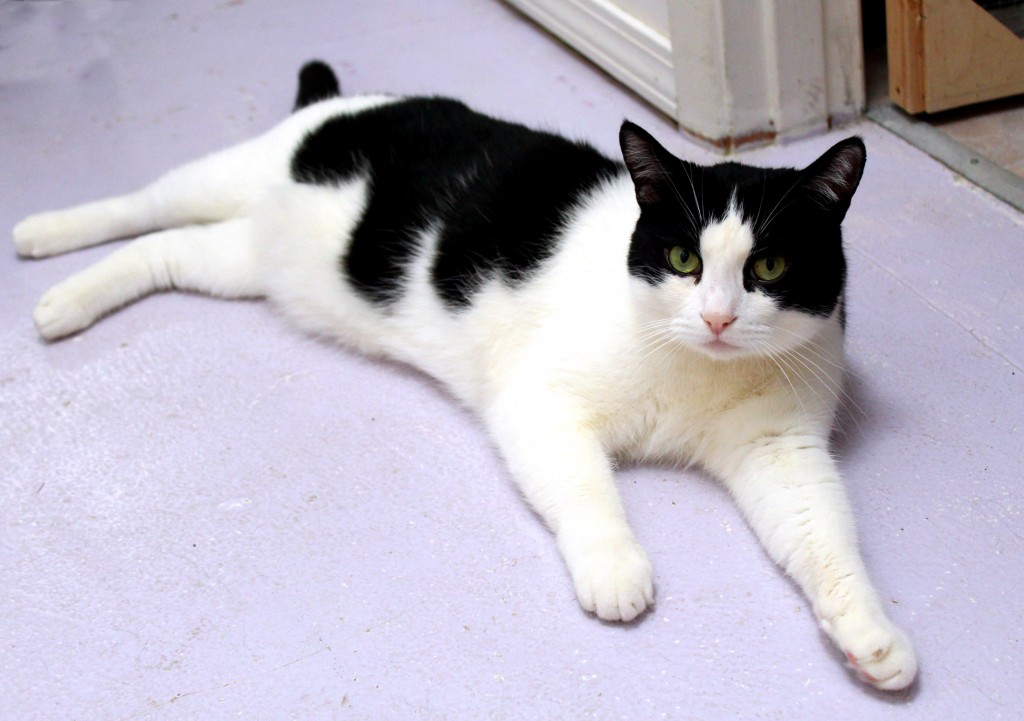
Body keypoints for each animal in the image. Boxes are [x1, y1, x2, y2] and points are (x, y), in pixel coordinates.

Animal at [12, 60, 917, 688]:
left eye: (768, 266)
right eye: (683, 260)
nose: (720, 317)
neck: (694, 367)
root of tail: (341, 102)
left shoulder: (779, 452)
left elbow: (826, 536)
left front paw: (869, 632)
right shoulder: (538, 405)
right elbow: (589, 491)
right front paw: (616, 568)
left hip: (251, 265)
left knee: (164, 251)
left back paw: (66, 300)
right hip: (228, 178)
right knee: (142, 206)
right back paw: (44, 242)